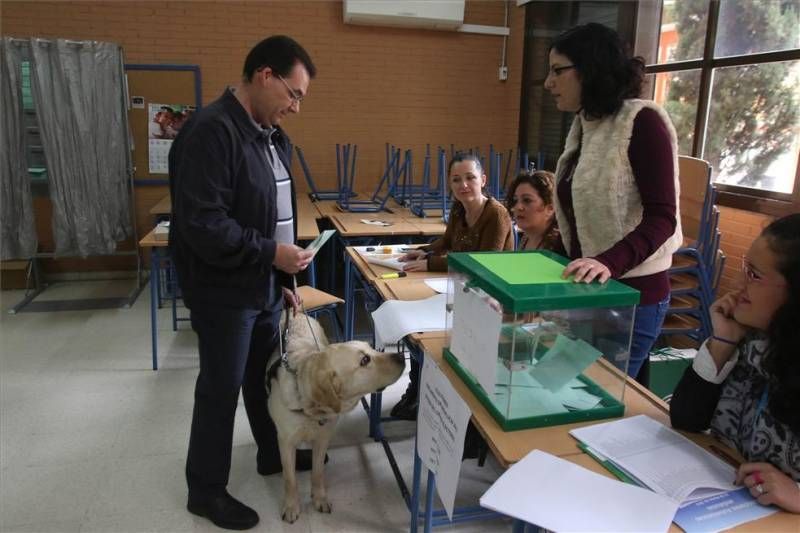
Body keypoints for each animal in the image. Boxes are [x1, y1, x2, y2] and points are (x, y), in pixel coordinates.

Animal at [268, 310, 404, 520]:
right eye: (365, 360)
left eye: (370, 348)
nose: (401, 356)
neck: (311, 411)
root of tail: (297, 313)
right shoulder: (286, 442)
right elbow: (290, 479)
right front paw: (291, 507)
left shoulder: (323, 439)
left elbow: (317, 473)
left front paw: (320, 499)